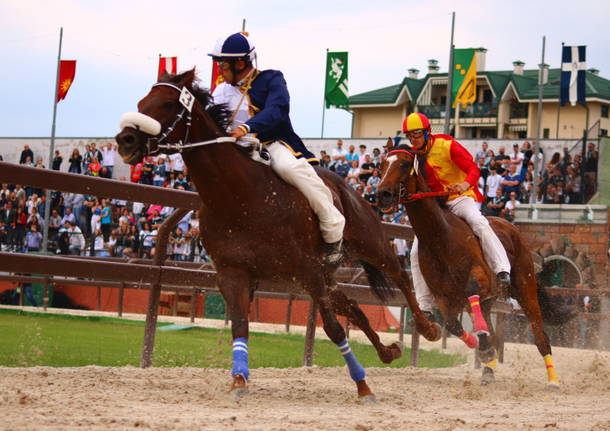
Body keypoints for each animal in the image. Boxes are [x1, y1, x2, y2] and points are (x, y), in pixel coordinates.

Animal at [114, 69, 436, 404]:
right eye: (141, 102)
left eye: (166, 104)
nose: (125, 140)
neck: (240, 197)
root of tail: (349, 188)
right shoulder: (234, 273)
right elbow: (240, 325)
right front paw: (238, 380)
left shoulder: (308, 270)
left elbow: (334, 330)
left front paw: (363, 385)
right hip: (327, 275)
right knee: (354, 307)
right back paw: (388, 351)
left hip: (368, 245)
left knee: (400, 276)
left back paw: (427, 327)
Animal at [376, 144, 576, 388]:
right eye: (382, 165)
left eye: (404, 164)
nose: (383, 194)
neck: (440, 237)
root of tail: (513, 229)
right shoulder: (444, 297)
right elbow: (453, 324)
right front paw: (478, 345)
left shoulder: (479, 278)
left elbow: (471, 293)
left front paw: (482, 342)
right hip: (489, 301)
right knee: (490, 330)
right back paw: (488, 370)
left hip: (524, 288)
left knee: (540, 336)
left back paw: (553, 380)